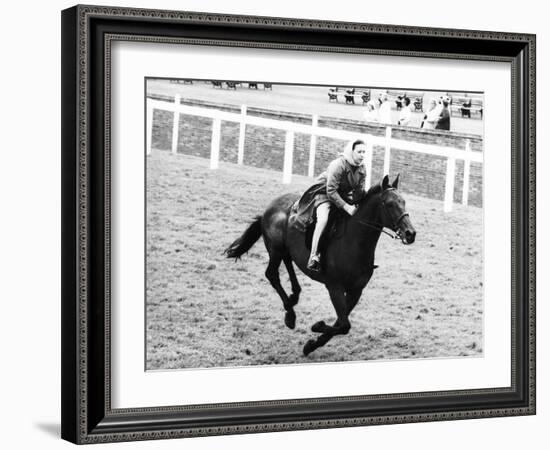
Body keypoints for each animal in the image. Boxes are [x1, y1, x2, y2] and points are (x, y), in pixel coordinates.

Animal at [226, 173, 416, 356]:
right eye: (390, 204)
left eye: (404, 202)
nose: (410, 233)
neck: (354, 242)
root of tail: (270, 207)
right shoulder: (334, 287)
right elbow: (344, 325)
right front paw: (317, 327)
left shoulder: (356, 291)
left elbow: (341, 323)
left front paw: (311, 345)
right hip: (275, 249)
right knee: (272, 274)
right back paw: (290, 314)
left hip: (285, 250)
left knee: (288, 263)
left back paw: (294, 298)